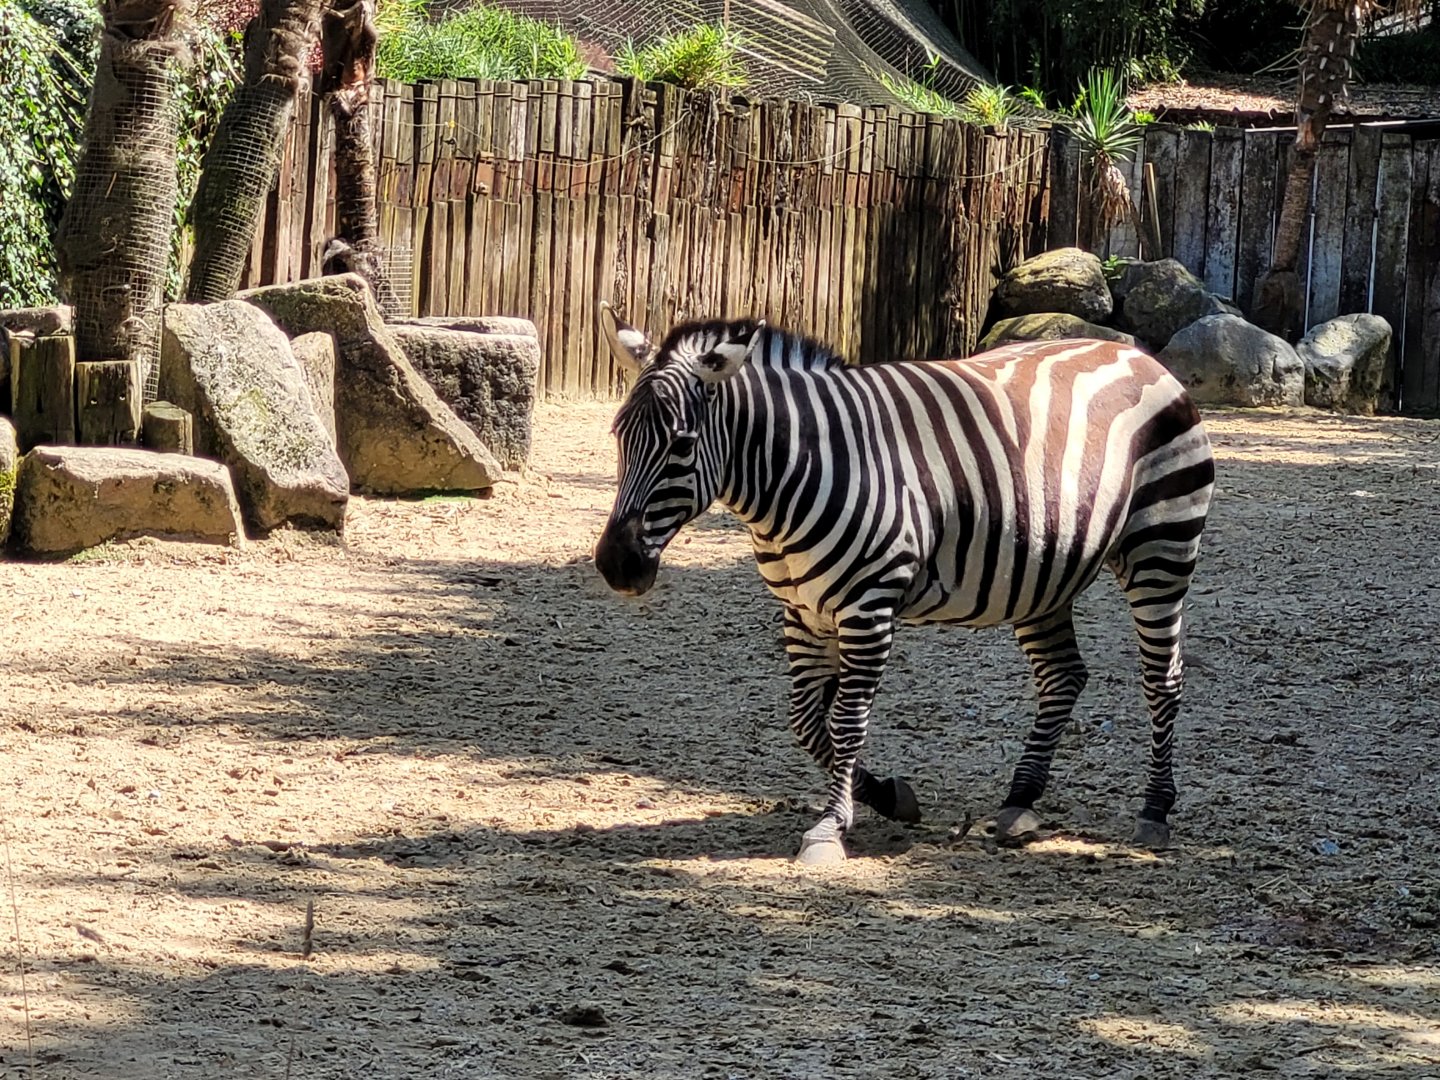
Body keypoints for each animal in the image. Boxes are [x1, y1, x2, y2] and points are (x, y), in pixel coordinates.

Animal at [593, 303, 1215, 865]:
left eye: (681, 443)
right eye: (618, 433)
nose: (615, 565)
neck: (791, 480)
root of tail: (1135, 353)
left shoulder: (868, 608)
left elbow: (845, 719)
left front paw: (831, 828)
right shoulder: (802, 611)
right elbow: (806, 721)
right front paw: (887, 797)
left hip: (1161, 548)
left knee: (1163, 678)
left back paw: (1154, 811)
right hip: (1043, 572)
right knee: (1063, 676)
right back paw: (1019, 801)